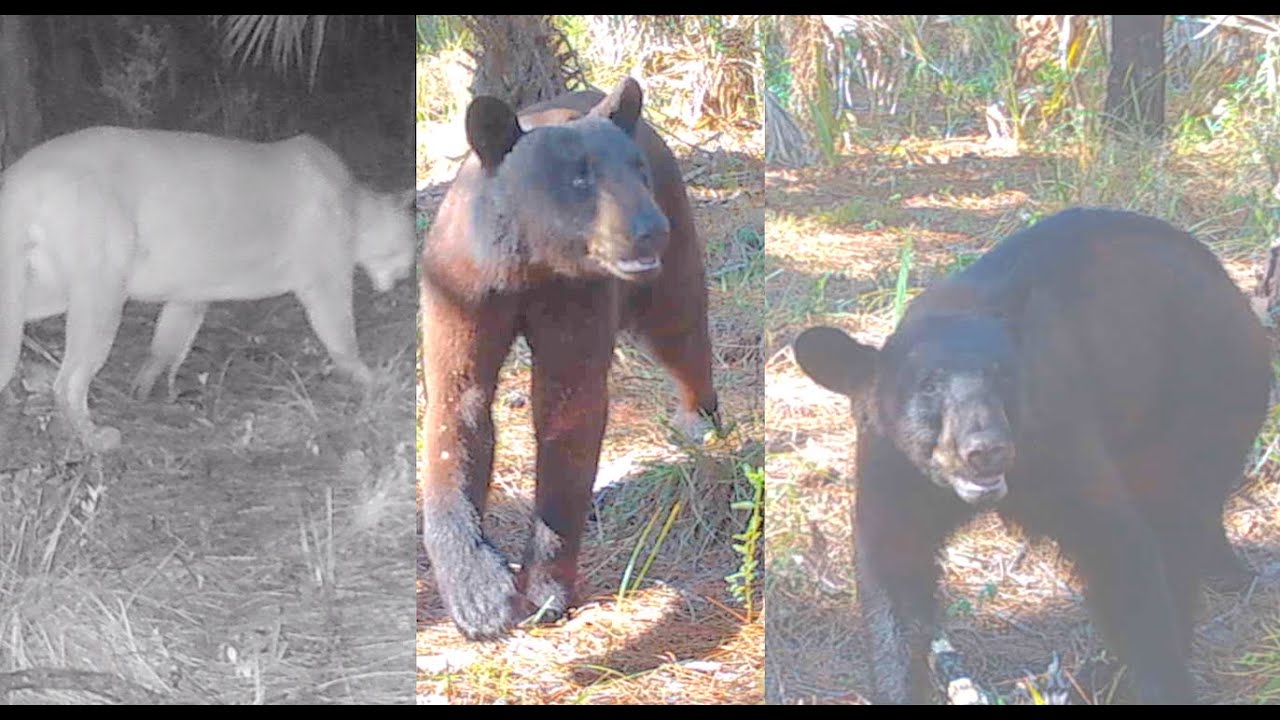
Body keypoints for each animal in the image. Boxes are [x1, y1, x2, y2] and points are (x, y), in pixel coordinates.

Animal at [421, 78, 720, 640]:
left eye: (637, 170)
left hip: (668, 284)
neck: (530, 266)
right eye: (580, 177)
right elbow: (457, 423)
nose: (651, 227)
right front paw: (479, 598)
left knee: (684, 335)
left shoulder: (577, 302)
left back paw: (700, 422)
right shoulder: (463, 294)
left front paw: (544, 590)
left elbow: (566, 426)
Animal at [792, 208, 1271, 704]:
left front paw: (1161, 680)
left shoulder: (1058, 443)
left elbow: (1120, 551)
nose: (986, 450)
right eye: (929, 385)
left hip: (1201, 391)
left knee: (1177, 518)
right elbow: (893, 580)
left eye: (1003, 375)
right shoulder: (894, 468)